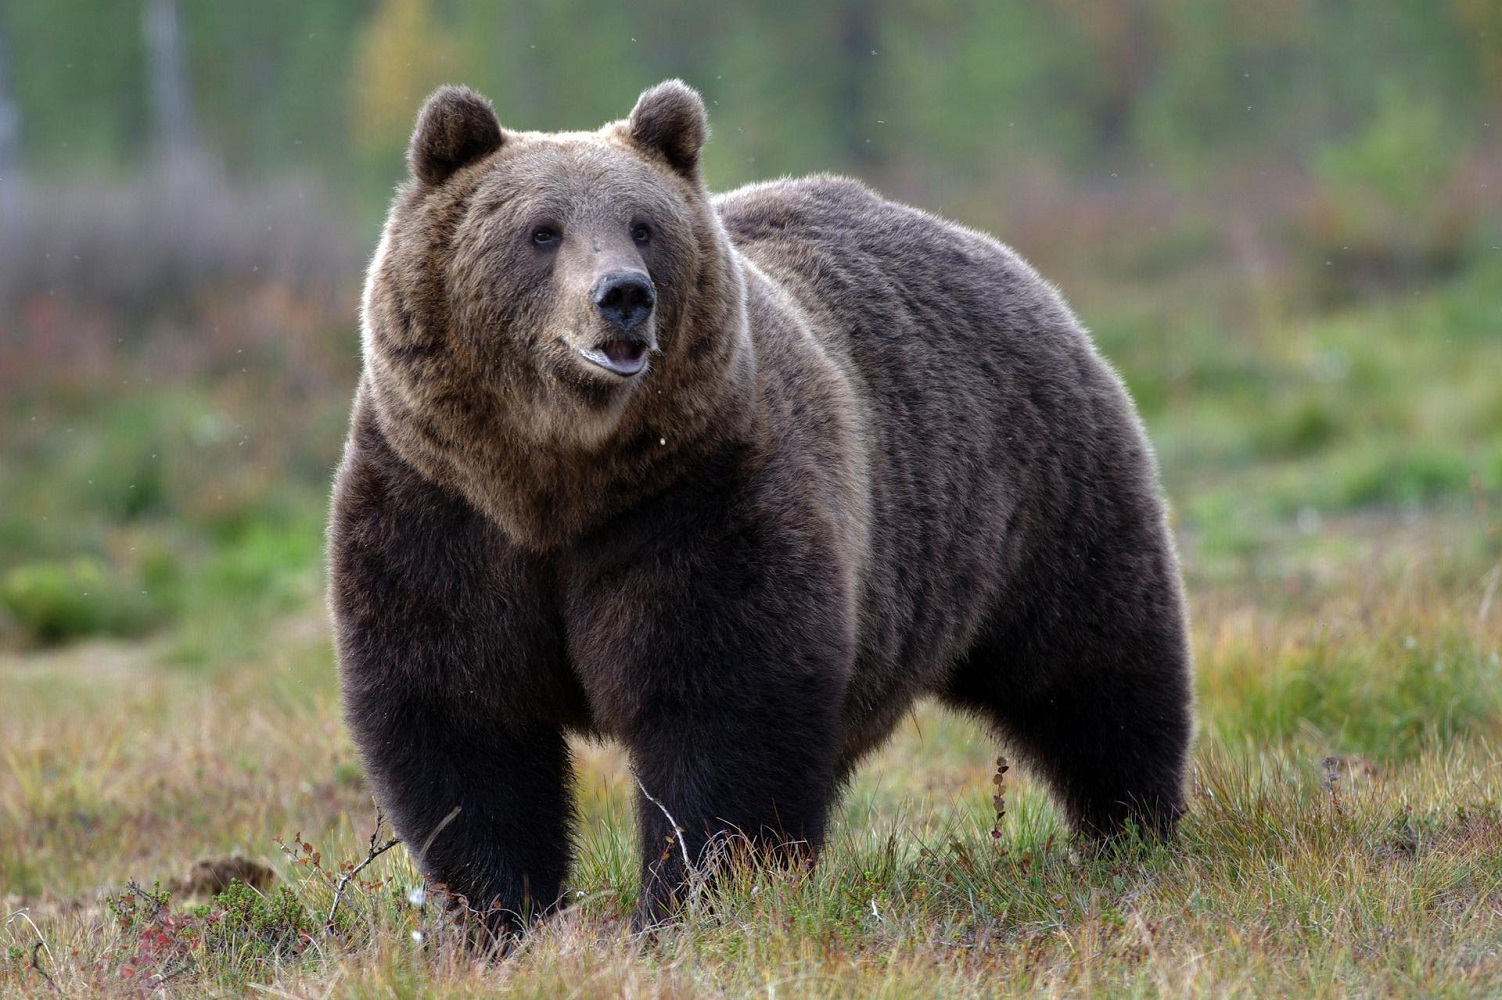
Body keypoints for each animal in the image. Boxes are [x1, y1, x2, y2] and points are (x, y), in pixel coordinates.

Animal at [331, 79, 1195, 942]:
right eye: (542, 231)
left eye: (643, 226)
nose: (624, 296)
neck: (558, 483)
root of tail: (989, 249)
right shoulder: (440, 509)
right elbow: (461, 714)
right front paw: (502, 915)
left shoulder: (697, 498)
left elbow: (722, 705)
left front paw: (689, 900)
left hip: (1037, 490)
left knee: (1093, 664)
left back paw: (1133, 825)